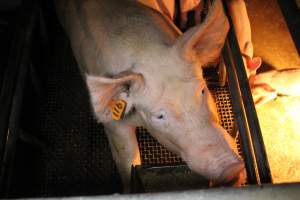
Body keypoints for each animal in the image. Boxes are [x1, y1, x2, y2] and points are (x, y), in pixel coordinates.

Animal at [55, 0, 245, 191]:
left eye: (202, 91)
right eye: (159, 116)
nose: (231, 168)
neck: (142, 48)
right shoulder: (113, 124)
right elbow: (127, 158)